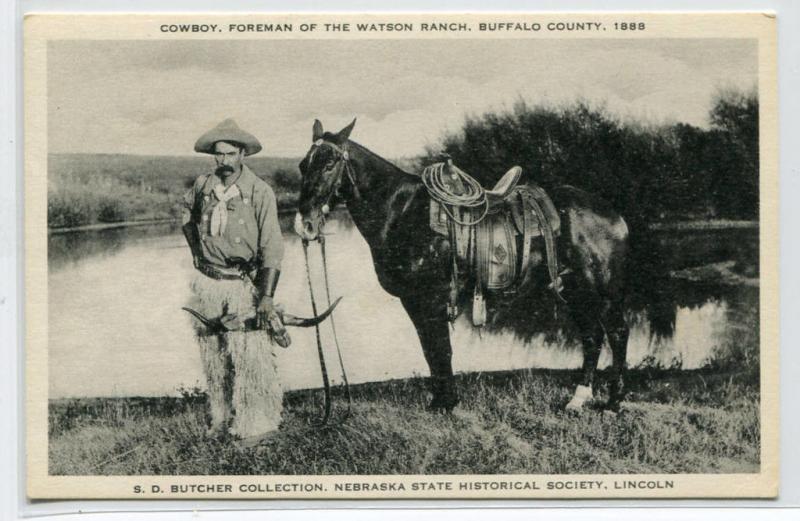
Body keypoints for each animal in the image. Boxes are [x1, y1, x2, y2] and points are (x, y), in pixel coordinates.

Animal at [298, 120, 632, 412]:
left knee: (617, 333)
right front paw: (440, 401)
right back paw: (577, 399)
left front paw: (446, 403)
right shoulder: (413, 300)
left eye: (330, 164)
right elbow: (430, 350)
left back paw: (613, 403)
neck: (401, 212)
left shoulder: (430, 297)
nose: (305, 224)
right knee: (592, 337)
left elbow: (440, 348)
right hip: (574, 290)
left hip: (601, 291)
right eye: (303, 165)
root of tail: (614, 214)